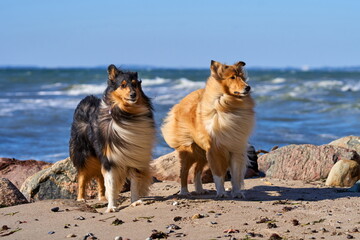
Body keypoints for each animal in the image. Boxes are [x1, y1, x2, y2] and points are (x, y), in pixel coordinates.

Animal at [69, 64, 155, 212]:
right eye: (123, 85)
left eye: (134, 84)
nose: (133, 94)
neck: (126, 115)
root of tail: (87, 99)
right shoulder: (109, 159)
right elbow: (111, 183)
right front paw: (112, 207)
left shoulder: (135, 155)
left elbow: (134, 183)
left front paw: (135, 201)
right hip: (84, 154)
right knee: (82, 176)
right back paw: (81, 198)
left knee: (99, 177)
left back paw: (103, 197)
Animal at [162, 60, 255, 199]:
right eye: (232, 77)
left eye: (242, 78)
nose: (248, 87)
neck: (229, 106)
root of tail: (180, 102)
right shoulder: (215, 150)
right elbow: (218, 175)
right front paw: (221, 193)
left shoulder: (235, 148)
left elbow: (235, 175)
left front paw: (237, 193)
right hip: (188, 149)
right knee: (183, 171)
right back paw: (184, 192)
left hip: (202, 152)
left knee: (197, 171)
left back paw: (200, 189)